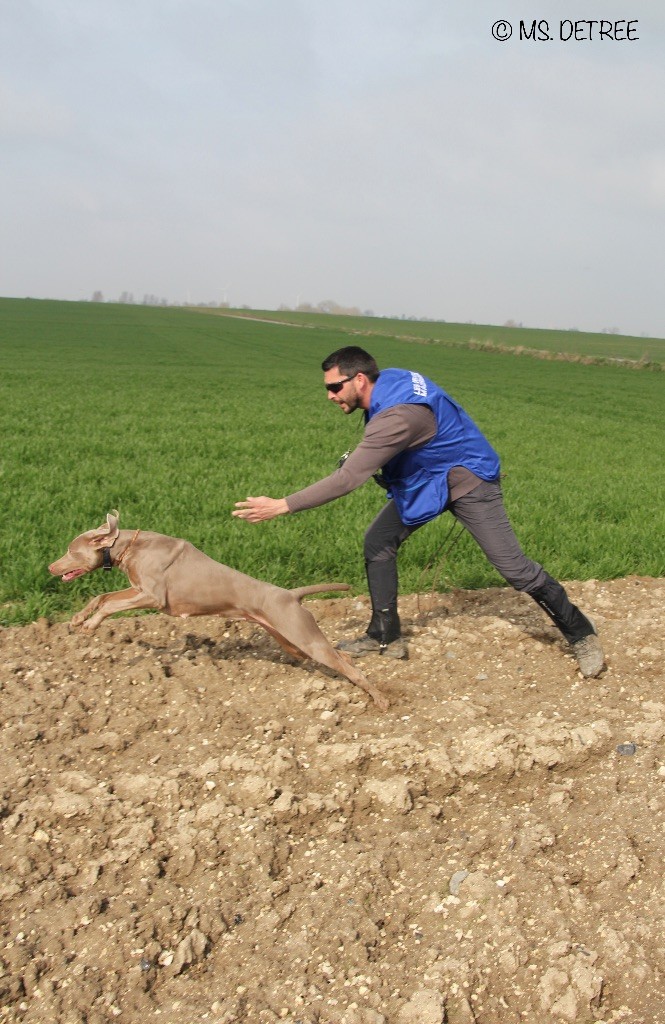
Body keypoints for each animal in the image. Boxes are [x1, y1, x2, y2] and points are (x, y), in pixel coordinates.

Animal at [49, 512, 387, 712]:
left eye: (70, 550)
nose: (51, 567)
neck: (131, 547)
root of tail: (291, 595)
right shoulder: (137, 589)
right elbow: (103, 596)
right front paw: (79, 618)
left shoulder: (152, 596)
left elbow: (110, 604)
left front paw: (91, 624)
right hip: (292, 642)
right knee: (342, 659)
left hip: (302, 636)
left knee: (347, 666)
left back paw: (381, 699)